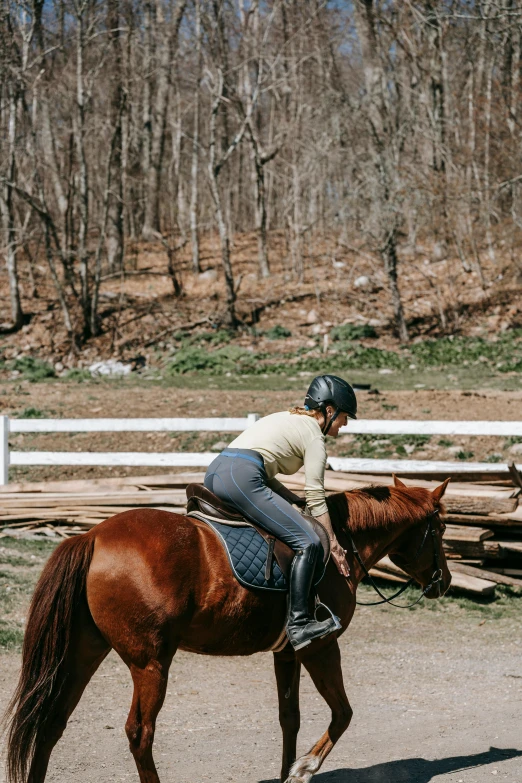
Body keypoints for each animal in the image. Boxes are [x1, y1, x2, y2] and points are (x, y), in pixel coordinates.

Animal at [4, 474, 448, 783]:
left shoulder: (287, 653)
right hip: (150, 664)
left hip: (84, 652)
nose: (442, 581)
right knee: (139, 733)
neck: (338, 543)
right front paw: (304, 768)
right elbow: (342, 713)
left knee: (50, 721)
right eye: (440, 530)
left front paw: (287, 772)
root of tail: (93, 536)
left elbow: (290, 717)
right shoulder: (320, 648)